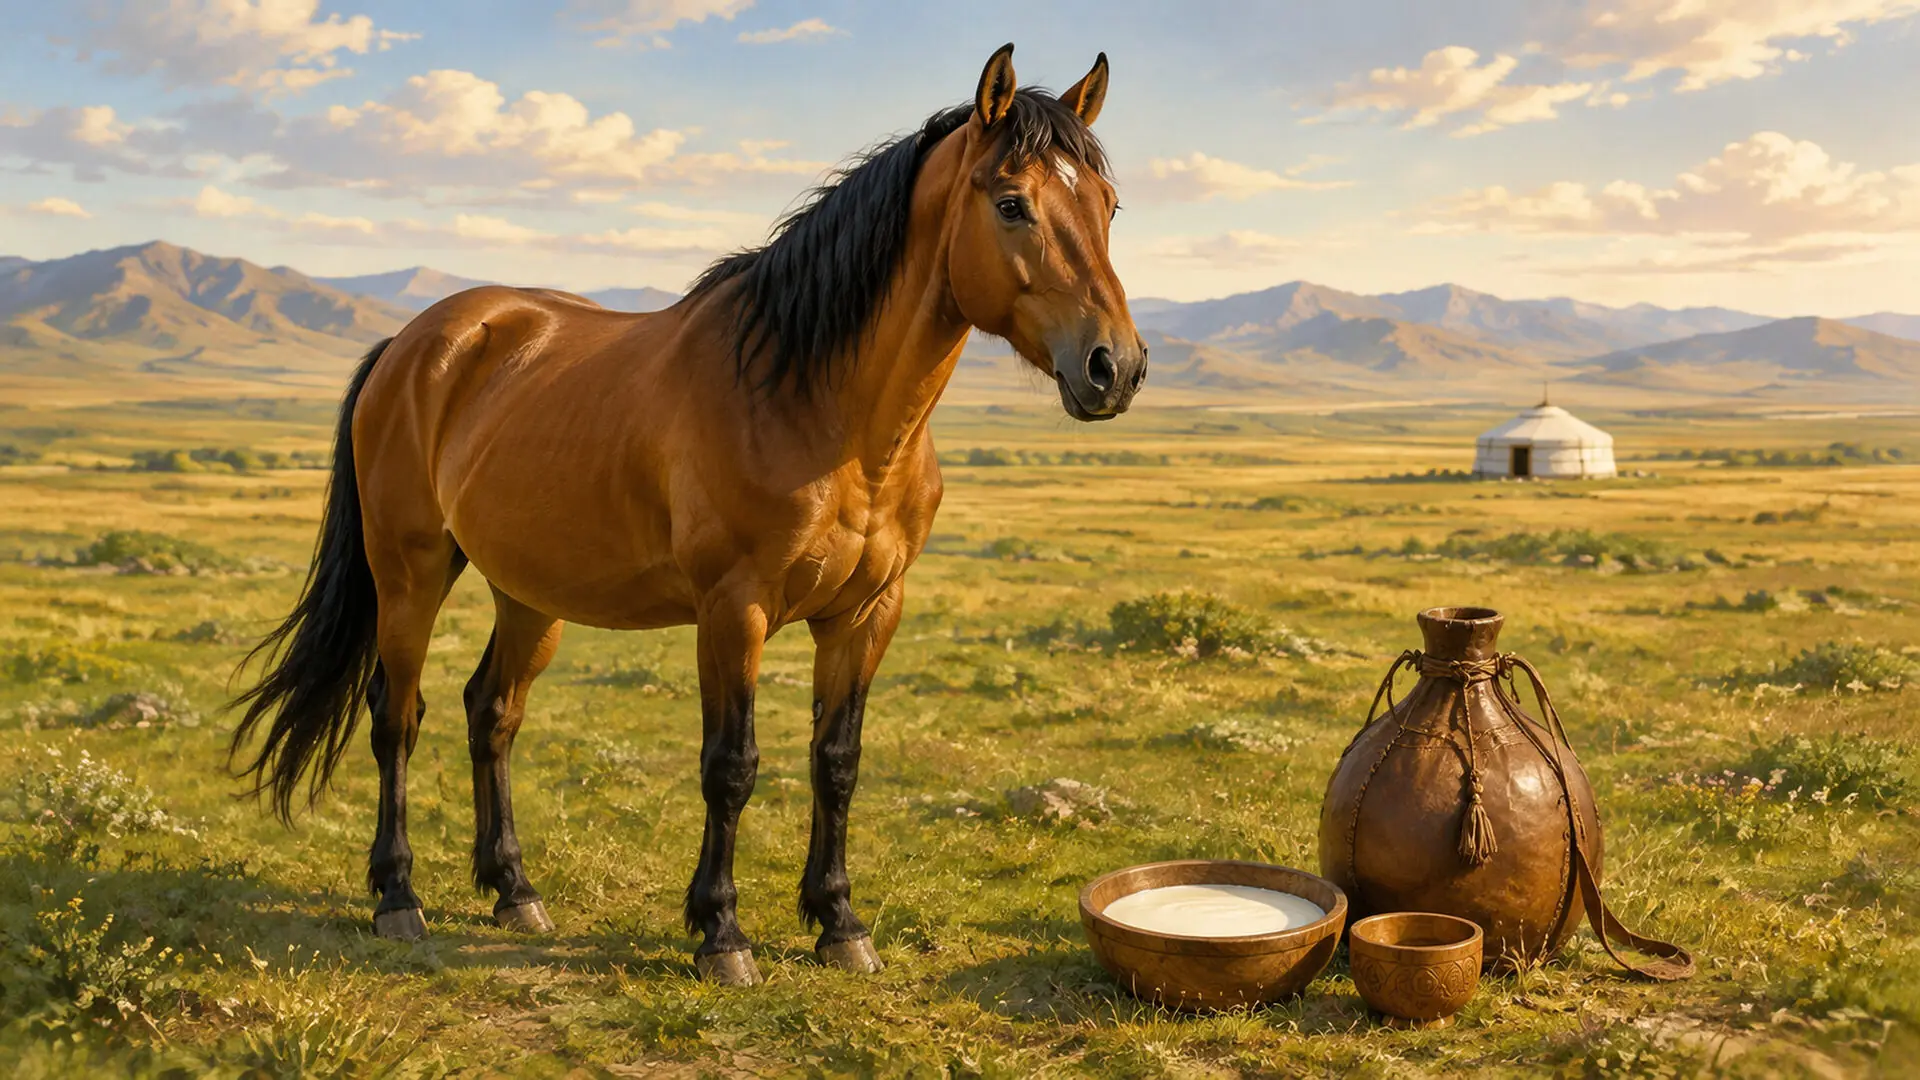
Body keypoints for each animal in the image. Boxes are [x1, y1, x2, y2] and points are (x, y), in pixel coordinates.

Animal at [228, 43, 1146, 985]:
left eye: (1107, 204)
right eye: (1011, 204)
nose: (1114, 366)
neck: (820, 407)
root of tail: (416, 343)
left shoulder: (867, 612)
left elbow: (837, 762)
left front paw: (839, 922)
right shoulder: (734, 609)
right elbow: (731, 766)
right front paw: (721, 933)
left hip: (528, 593)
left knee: (492, 712)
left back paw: (514, 889)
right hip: (409, 571)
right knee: (396, 717)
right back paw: (398, 897)